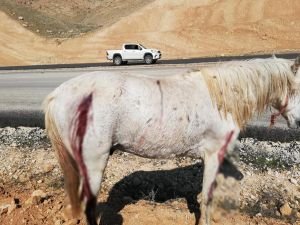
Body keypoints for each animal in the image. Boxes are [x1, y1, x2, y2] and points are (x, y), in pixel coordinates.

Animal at [44, 56, 300, 225]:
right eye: (296, 88)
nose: (298, 123)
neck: (221, 98)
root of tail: (58, 94)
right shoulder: (213, 154)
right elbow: (207, 198)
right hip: (94, 163)